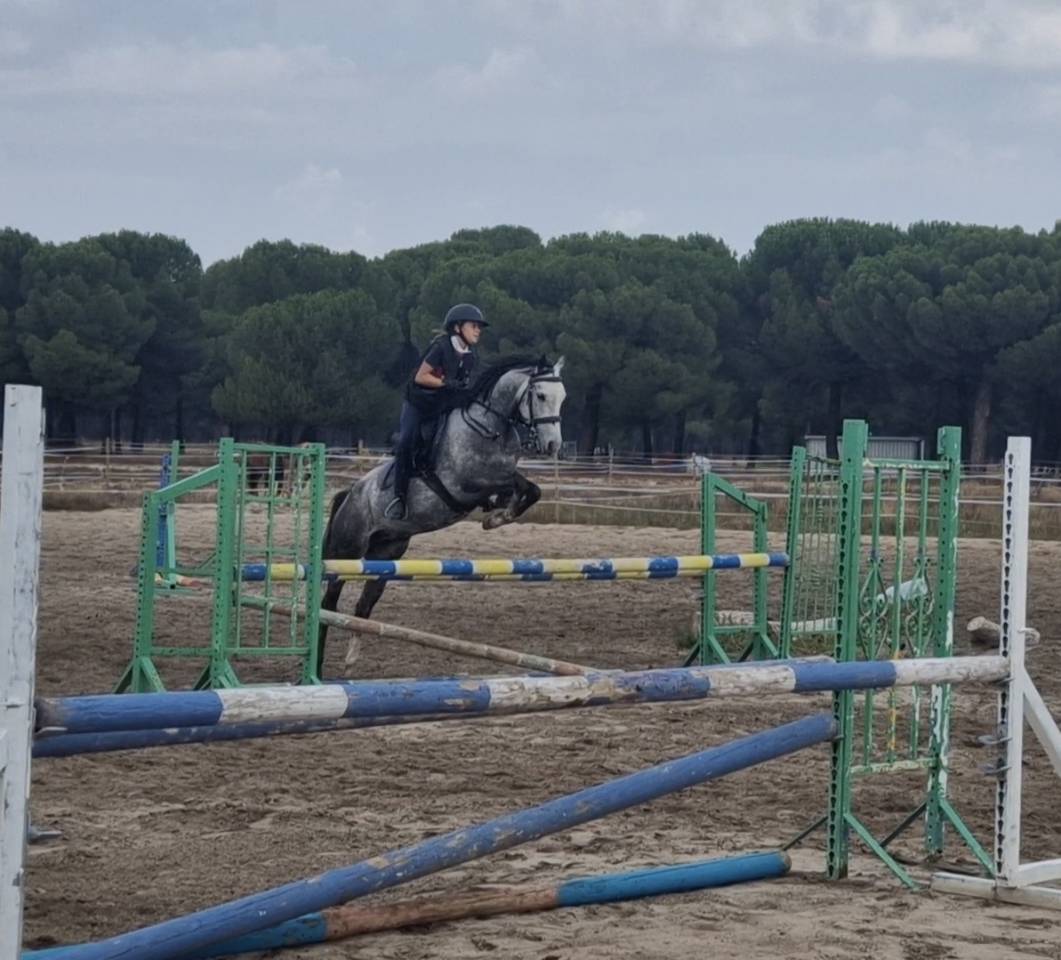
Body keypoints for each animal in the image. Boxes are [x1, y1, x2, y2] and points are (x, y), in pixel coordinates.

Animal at [317, 356, 567, 675]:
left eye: (563, 398)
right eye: (541, 395)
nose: (553, 446)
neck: (488, 426)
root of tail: (350, 493)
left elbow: (530, 490)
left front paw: (497, 516)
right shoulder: (466, 483)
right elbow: (520, 485)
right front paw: (495, 518)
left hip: (386, 553)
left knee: (363, 605)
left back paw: (350, 662)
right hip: (347, 551)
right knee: (328, 603)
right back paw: (315, 671)